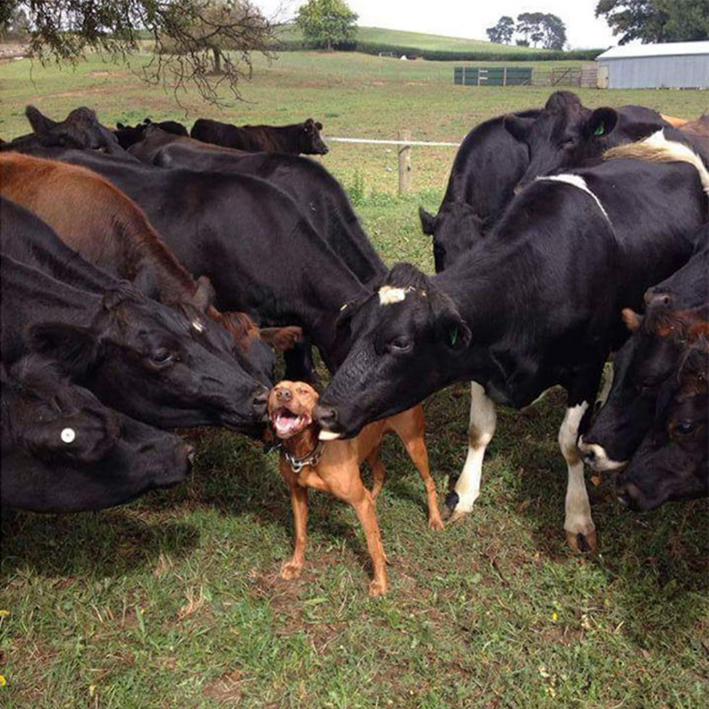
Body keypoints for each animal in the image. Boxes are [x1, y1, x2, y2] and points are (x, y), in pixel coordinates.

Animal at [268, 378, 440, 596]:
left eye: (303, 391)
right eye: (276, 388)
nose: (282, 394)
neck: (308, 451)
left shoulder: (359, 502)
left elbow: (372, 546)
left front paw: (381, 583)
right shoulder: (297, 493)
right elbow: (300, 534)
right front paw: (295, 565)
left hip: (414, 444)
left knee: (429, 481)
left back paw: (435, 519)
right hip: (371, 446)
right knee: (380, 472)